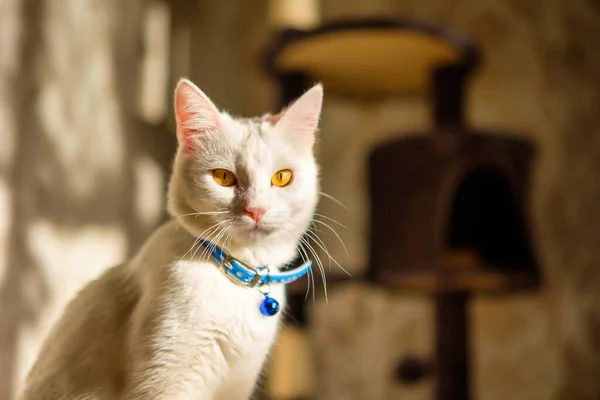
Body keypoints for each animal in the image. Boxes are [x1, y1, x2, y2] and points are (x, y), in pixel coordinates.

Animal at [18, 79, 324, 400]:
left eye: (282, 177)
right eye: (223, 177)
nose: (256, 209)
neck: (234, 278)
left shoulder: (237, 384)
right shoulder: (165, 382)